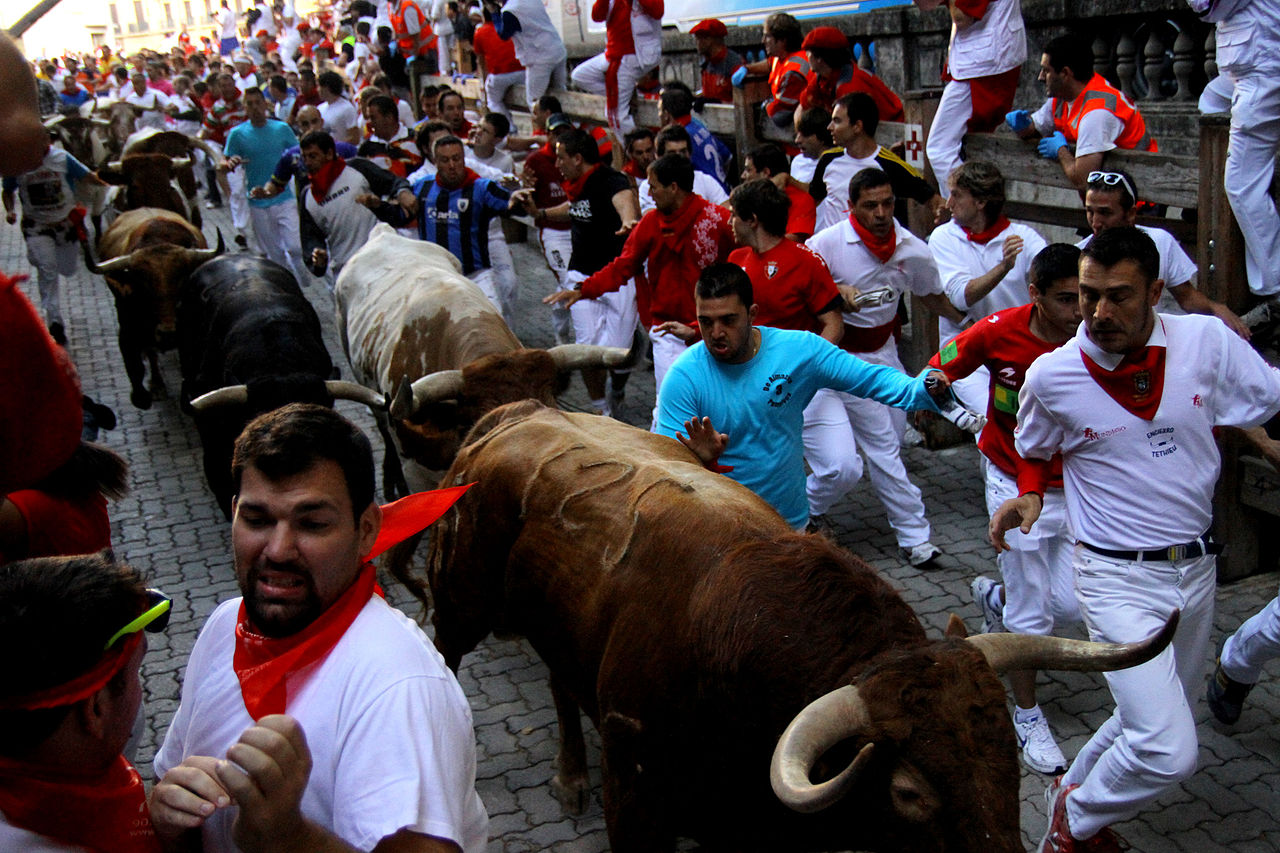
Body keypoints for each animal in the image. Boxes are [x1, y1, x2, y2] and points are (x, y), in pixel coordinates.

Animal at [422, 399, 1177, 850]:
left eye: (1004, 758)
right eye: (908, 792)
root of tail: (516, 414)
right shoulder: (636, 797)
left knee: (557, 678)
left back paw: (570, 773)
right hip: (459, 595)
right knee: (446, 656)